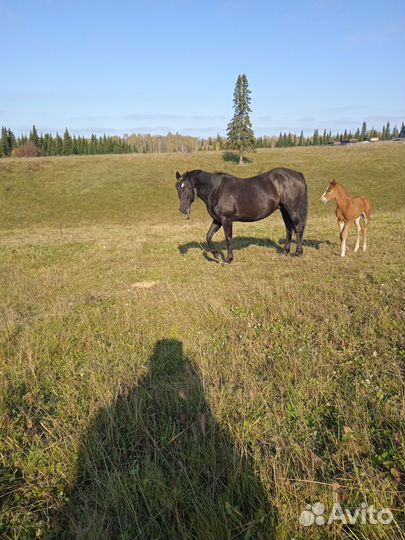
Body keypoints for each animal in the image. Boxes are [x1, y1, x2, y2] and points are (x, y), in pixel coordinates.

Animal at [175, 168, 308, 262]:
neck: (216, 189)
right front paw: (217, 255)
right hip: (284, 210)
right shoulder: (217, 220)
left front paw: (228, 259)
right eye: (177, 188)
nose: (183, 209)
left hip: (292, 209)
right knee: (289, 229)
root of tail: (297, 174)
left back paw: (298, 252)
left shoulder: (226, 220)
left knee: (298, 227)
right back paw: (285, 252)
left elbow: (228, 238)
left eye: (189, 187)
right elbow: (208, 236)